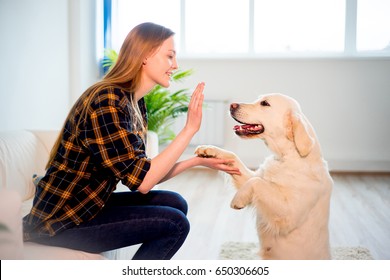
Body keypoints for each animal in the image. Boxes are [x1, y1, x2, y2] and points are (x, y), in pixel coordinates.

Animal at [195, 93, 332, 260]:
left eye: (265, 103)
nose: (232, 105)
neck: (285, 157)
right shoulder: (250, 176)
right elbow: (235, 159)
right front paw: (209, 149)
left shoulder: (290, 214)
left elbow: (257, 182)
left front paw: (238, 200)